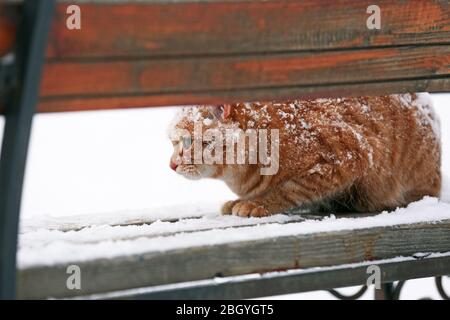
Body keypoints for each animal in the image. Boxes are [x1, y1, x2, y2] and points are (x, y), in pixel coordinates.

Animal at [168, 93, 440, 218]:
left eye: (187, 142)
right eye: (172, 142)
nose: (171, 165)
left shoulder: (346, 157)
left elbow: (289, 189)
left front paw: (257, 203)